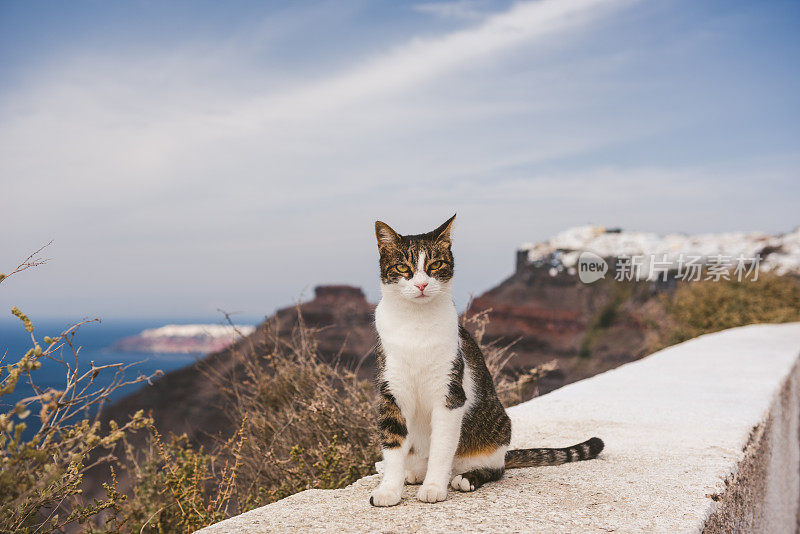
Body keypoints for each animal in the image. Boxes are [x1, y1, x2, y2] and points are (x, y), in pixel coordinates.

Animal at [368, 216, 600, 508]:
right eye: (402, 267)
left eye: (435, 265)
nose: (421, 285)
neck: (415, 323)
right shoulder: (393, 391)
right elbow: (393, 444)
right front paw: (389, 489)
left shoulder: (450, 394)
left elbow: (442, 447)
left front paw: (433, 487)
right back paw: (414, 473)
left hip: (496, 432)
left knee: (494, 469)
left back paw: (465, 477)